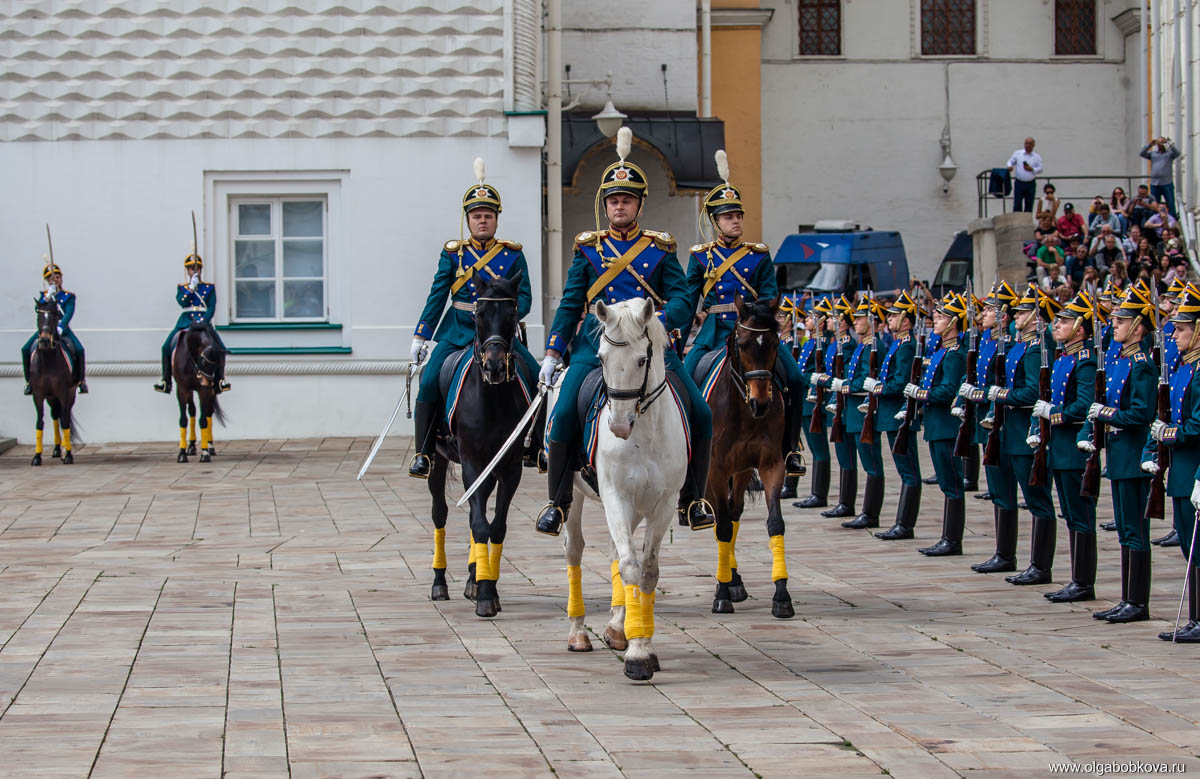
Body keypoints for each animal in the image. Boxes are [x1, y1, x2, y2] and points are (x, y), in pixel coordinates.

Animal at [29, 301, 78, 465]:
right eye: (38, 316)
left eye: (54, 317)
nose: (44, 341)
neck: (47, 361)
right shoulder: (38, 395)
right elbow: (39, 422)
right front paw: (37, 456)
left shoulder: (64, 393)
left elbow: (65, 421)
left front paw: (68, 454)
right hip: (51, 397)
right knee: (55, 415)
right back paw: (57, 448)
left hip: (70, 395)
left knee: (64, 416)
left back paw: (63, 449)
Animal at [170, 316, 224, 460]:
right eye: (203, 361)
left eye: (219, 362)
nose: (209, 382)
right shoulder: (182, 389)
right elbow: (183, 420)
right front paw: (182, 453)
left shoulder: (204, 391)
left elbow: (203, 420)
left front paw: (205, 452)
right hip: (190, 391)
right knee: (192, 411)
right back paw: (192, 445)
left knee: (208, 413)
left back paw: (210, 446)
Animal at [424, 273, 532, 619]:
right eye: (478, 315)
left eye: (512, 313)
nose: (494, 367)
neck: (492, 400)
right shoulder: (471, 463)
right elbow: (479, 524)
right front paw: (485, 594)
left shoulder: (509, 467)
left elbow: (495, 527)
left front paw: (486, 586)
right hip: (436, 460)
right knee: (440, 514)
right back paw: (440, 583)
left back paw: (473, 576)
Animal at [549, 297, 686, 681]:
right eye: (601, 358)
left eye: (641, 360)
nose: (619, 426)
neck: (645, 434)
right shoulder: (615, 495)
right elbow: (630, 567)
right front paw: (637, 655)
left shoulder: (663, 503)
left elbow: (647, 570)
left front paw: (640, 644)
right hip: (578, 495)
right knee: (575, 550)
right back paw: (579, 632)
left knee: (613, 549)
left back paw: (617, 625)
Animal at [700, 295, 796, 614]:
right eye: (742, 344)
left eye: (776, 343)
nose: (761, 403)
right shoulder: (715, 469)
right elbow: (722, 526)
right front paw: (721, 594)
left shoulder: (771, 464)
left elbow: (775, 522)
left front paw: (782, 594)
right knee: (722, 517)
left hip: (741, 471)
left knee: (734, 511)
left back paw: (734, 578)